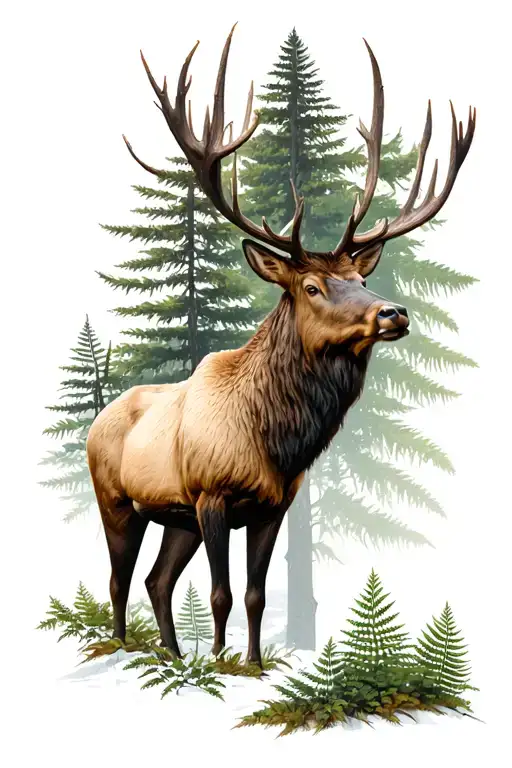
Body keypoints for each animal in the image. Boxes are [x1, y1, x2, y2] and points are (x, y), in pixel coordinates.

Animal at [86, 25, 475, 668]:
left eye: (360, 277)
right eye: (312, 286)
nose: (393, 312)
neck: (277, 441)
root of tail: (97, 420)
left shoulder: (272, 508)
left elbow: (255, 595)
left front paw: (252, 663)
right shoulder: (212, 496)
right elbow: (219, 593)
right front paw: (221, 663)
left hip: (175, 517)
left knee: (157, 581)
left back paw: (171, 655)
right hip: (118, 500)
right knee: (119, 579)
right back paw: (123, 648)